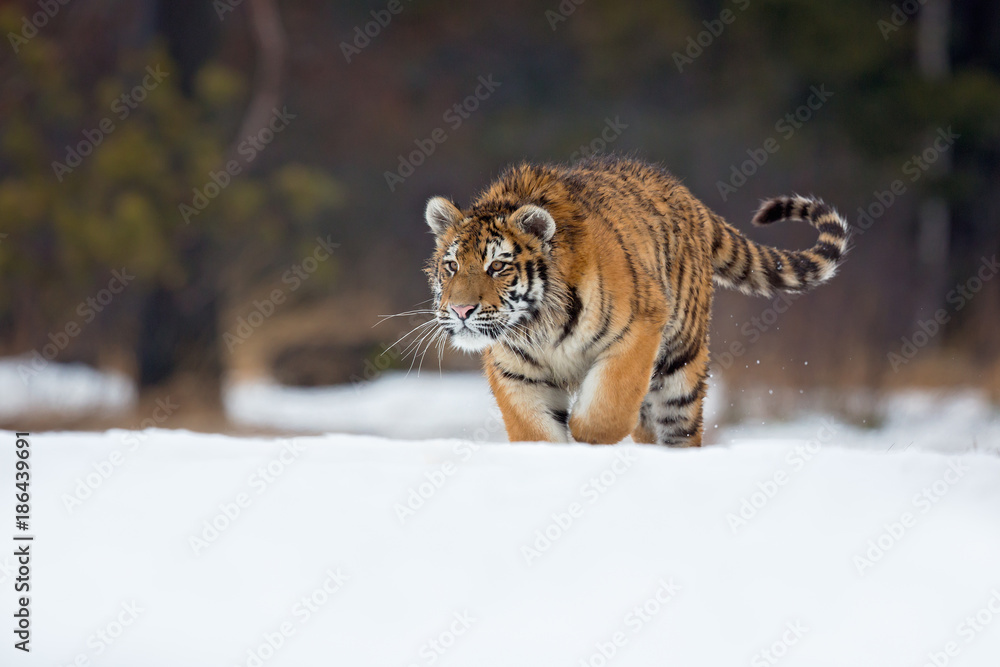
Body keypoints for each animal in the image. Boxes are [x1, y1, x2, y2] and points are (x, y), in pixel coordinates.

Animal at [423, 156, 849, 446]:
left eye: (497, 266)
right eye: (451, 265)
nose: (461, 311)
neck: (538, 326)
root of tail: (690, 198)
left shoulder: (637, 331)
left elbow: (605, 409)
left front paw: (584, 433)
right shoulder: (515, 370)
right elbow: (536, 431)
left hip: (679, 366)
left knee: (680, 430)